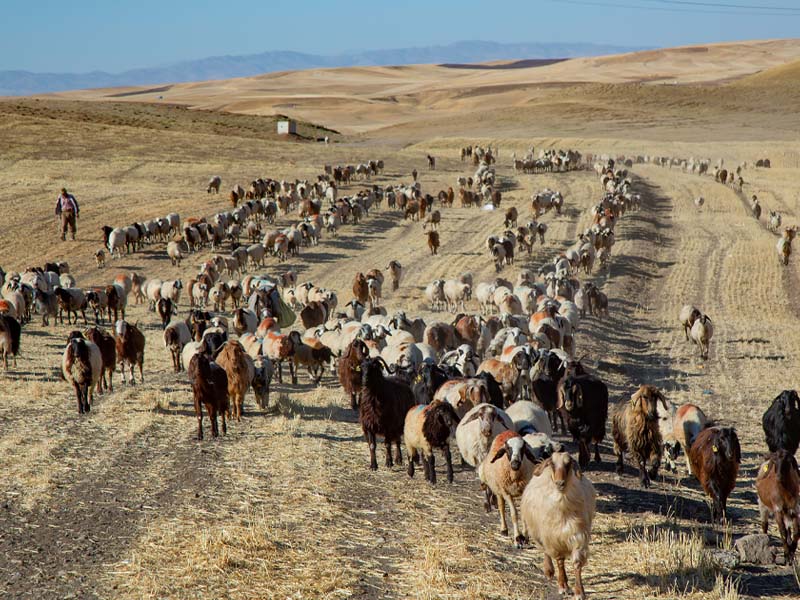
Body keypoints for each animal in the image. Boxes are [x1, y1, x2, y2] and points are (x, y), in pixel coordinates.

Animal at [520, 452, 592, 596]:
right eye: (552, 464)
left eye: (568, 464)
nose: (560, 483)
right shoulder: (554, 538)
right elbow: (560, 561)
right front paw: (563, 585)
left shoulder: (577, 535)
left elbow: (577, 563)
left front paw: (579, 591)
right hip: (538, 532)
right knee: (545, 551)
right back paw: (549, 571)